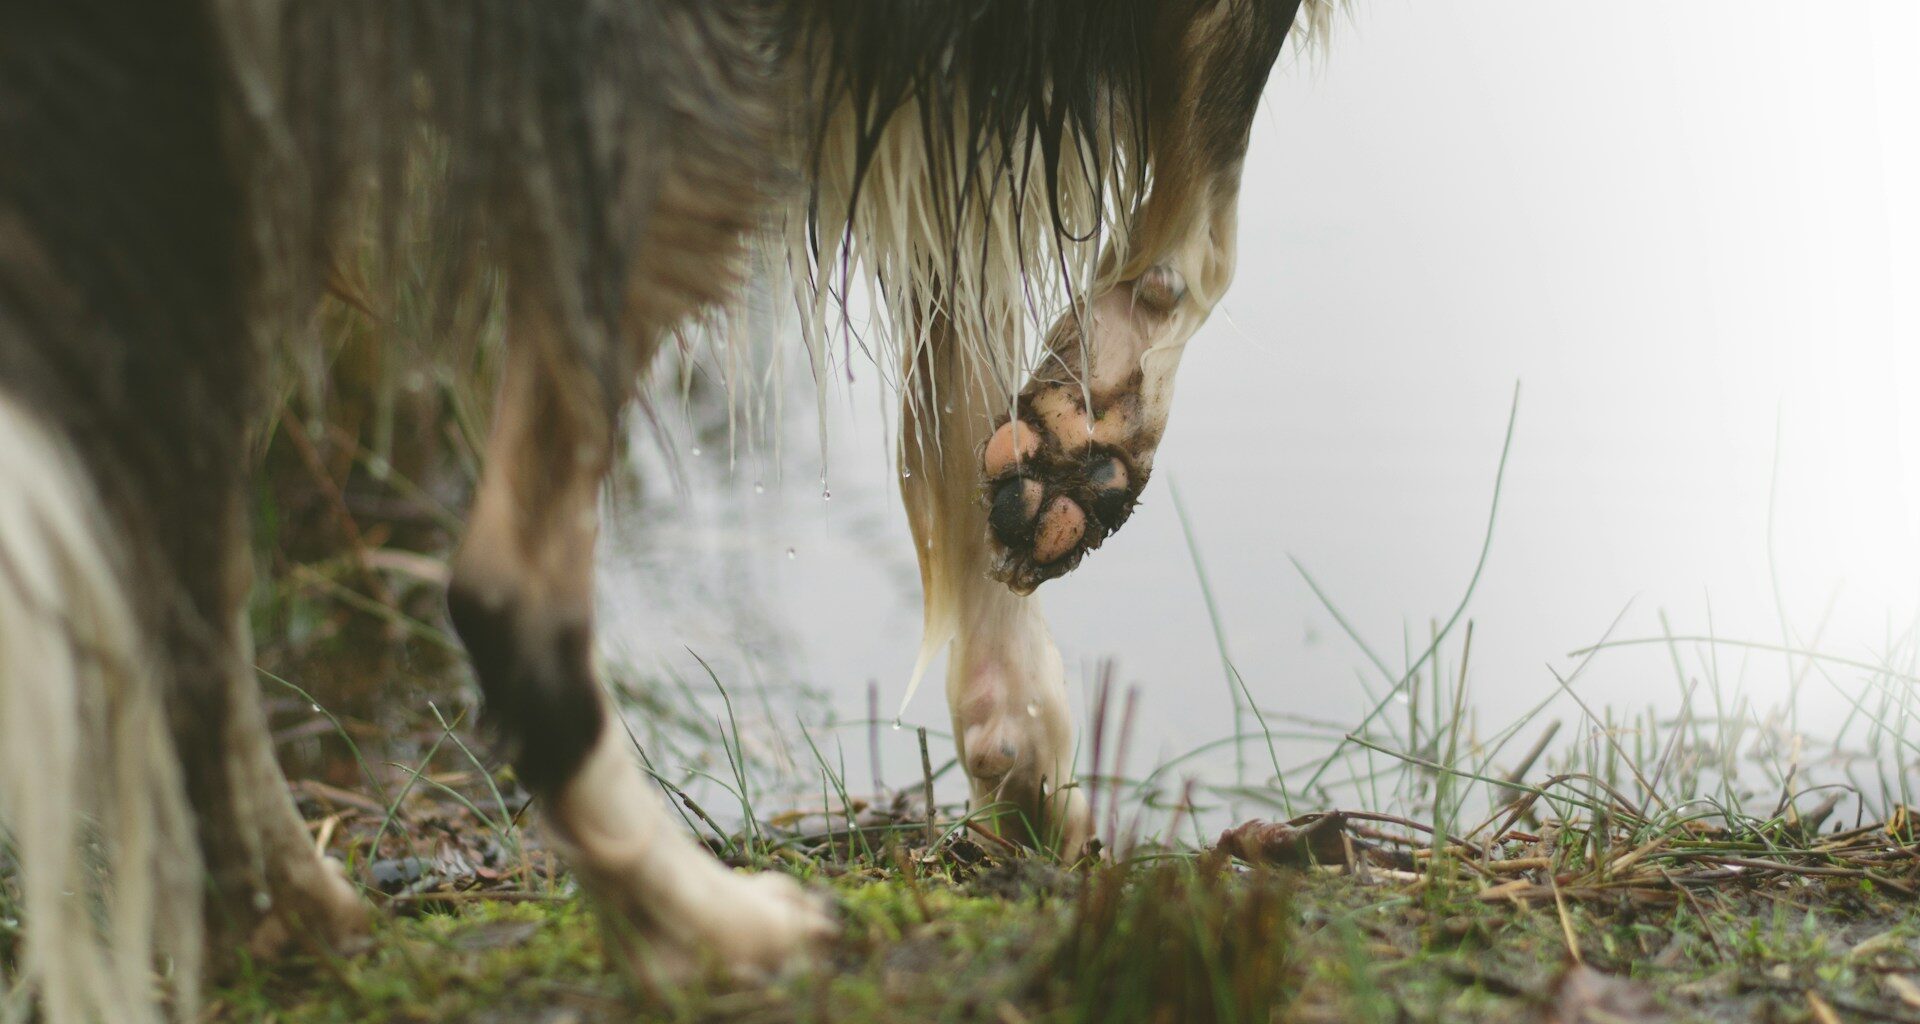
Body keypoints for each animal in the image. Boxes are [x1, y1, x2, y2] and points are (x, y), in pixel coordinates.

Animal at [0, 1, 1328, 1014]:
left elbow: (961, 352)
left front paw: (1025, 741)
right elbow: (1209, 198)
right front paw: (1098, 423)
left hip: (205, 173)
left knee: (175, 587)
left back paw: (294, 913)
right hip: (668, 93)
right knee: (504, 586)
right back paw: (710, 928)